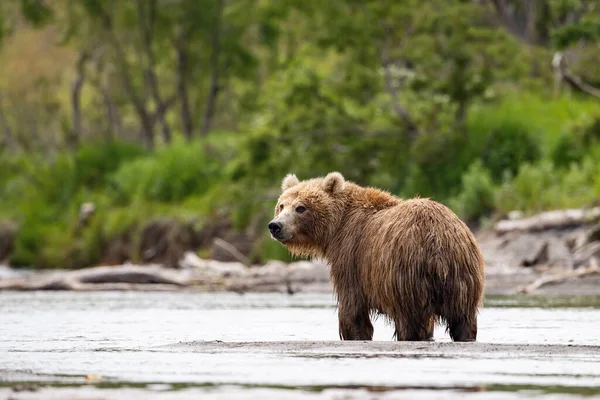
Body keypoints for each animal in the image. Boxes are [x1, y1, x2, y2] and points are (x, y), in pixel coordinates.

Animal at [270, 170, 486, 342]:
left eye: (301, 207)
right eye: (281, 205)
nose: (275, 226)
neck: (336, 227)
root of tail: (438, 243)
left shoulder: (351, 256)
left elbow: (352, 307)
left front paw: (354, 334)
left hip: (404, 276)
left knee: (410, 320)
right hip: (464, 278)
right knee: (464, 319)